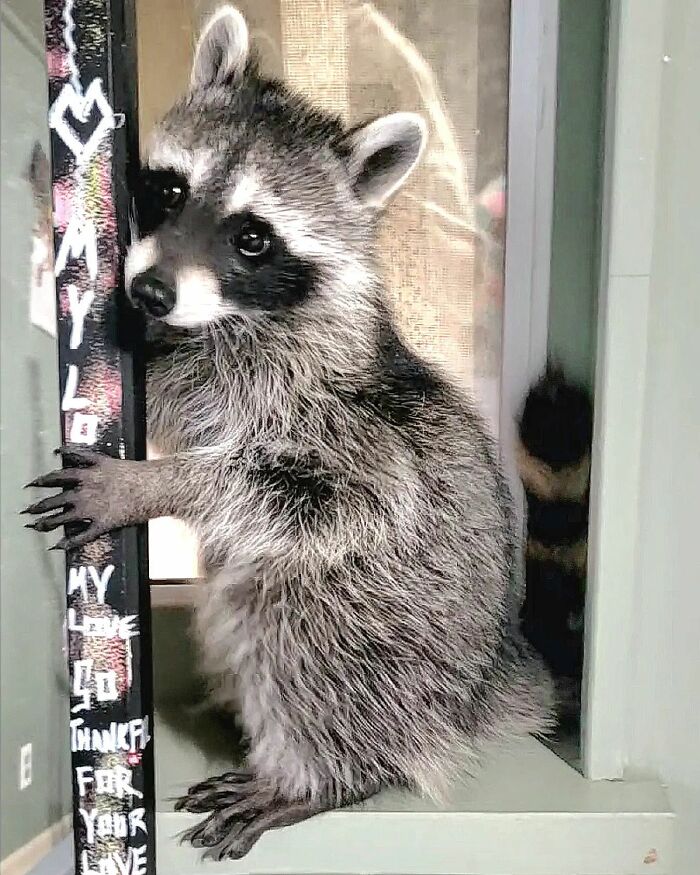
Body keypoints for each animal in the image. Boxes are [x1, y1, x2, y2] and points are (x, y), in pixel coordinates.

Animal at [25, 6, 554, 860]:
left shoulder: (337, 418)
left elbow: (311, 489)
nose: (150, 290)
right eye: (171, 188)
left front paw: (155, 483)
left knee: (300, 631)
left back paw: (318, 774)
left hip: (389, 626)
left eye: (252, 237)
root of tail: (476, 690)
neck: (239, 312)